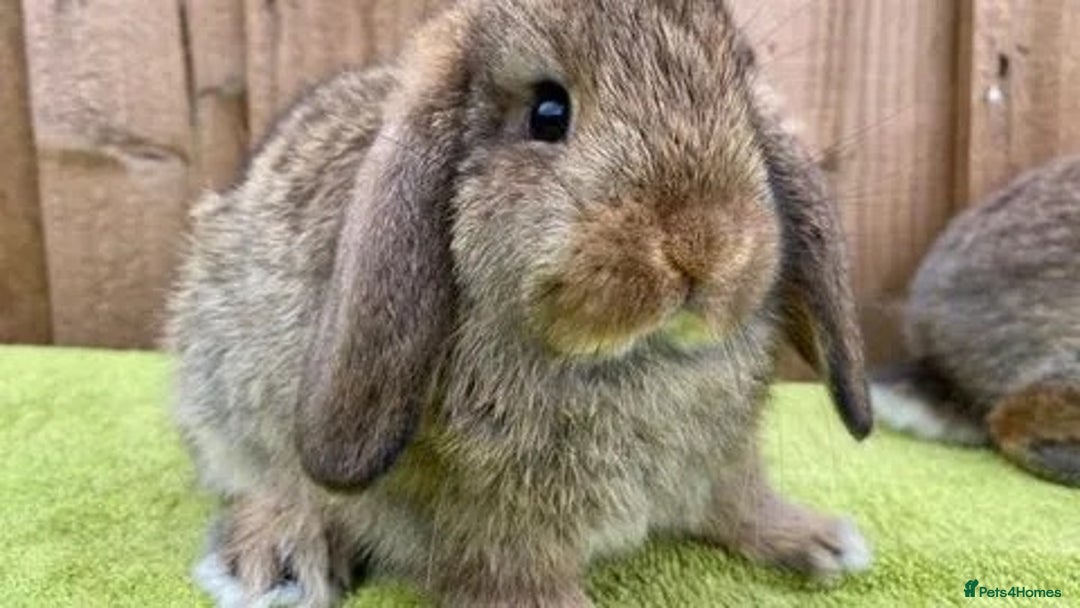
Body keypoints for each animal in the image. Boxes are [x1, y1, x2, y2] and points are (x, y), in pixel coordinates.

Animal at [167, 1, 875, 606]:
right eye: (548, 113)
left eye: (741, 106)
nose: (704, 246)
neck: (629, 358)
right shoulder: (496, 525)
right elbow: (517, 577)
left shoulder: (724, 461)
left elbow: (740, 503)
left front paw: (816, 542)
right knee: (262, 482)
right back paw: (281, 556)